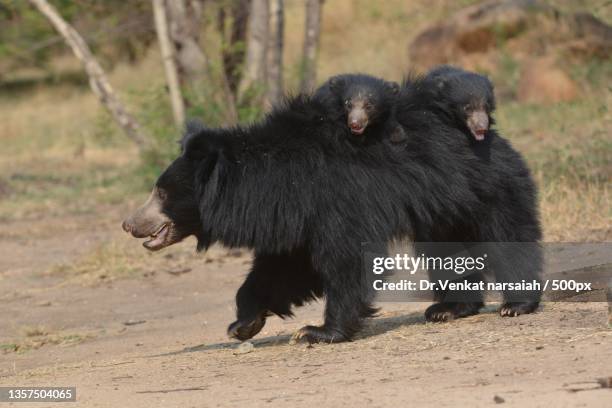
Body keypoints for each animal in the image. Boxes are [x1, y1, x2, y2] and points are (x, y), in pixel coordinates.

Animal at [123, 84, 540, 342]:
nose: (129, 224)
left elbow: (345, 259)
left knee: (509, 237)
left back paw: (515, 305)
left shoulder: (336, 197)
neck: (274, 179)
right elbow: (285, 267)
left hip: (489, 188)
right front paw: (242, 324)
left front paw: (318, 333)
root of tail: (492, 134)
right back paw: (449, 309)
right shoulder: (297, 213)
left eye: (161, 191)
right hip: (445, 208)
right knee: (446, 251)